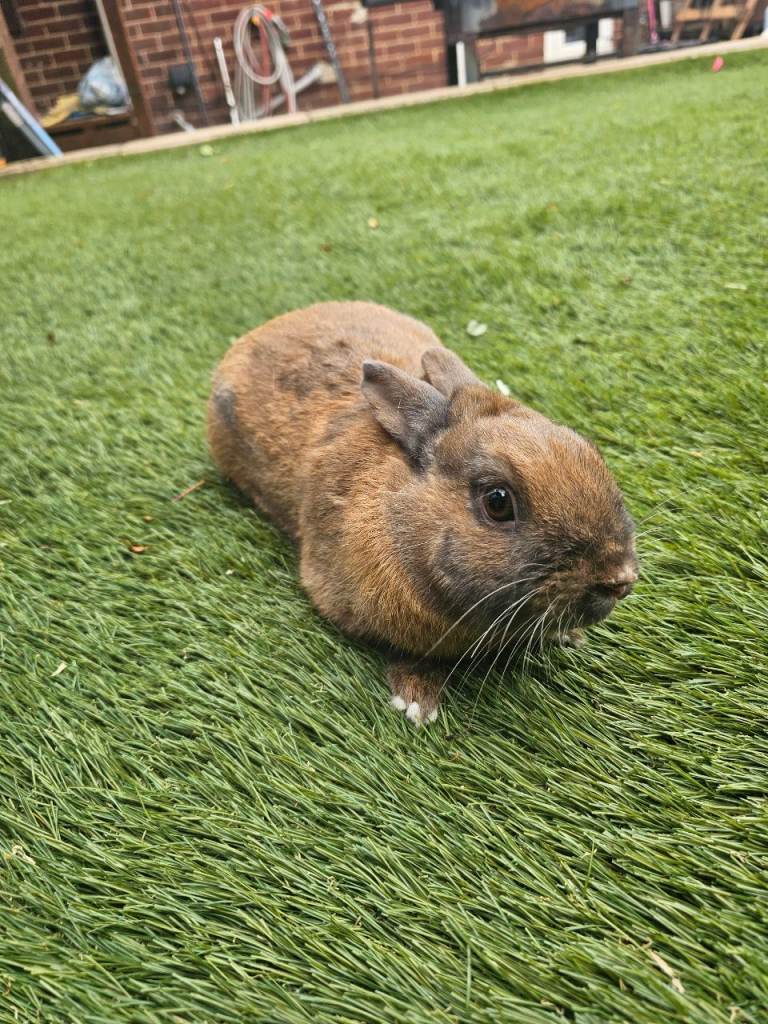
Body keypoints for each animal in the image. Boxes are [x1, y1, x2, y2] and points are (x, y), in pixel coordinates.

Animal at [208, 302, 637, 726]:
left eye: (587, 448)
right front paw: (417, 703)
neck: (399, 515)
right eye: (498, 502)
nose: (620, 579)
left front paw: (569, 636)